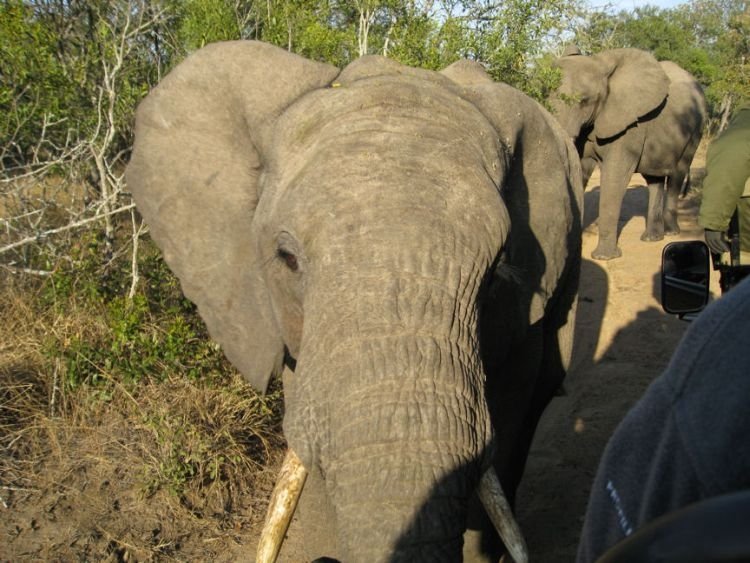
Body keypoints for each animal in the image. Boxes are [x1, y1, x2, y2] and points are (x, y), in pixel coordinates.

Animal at [548, 47, 708, 262]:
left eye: (584, 101)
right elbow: (581, 169)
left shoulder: (630, 125)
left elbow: (615, 176)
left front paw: (604, 257)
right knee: (654, 180)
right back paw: (652, 238)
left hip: (695, 130)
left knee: (677, 174)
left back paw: (671, 233)